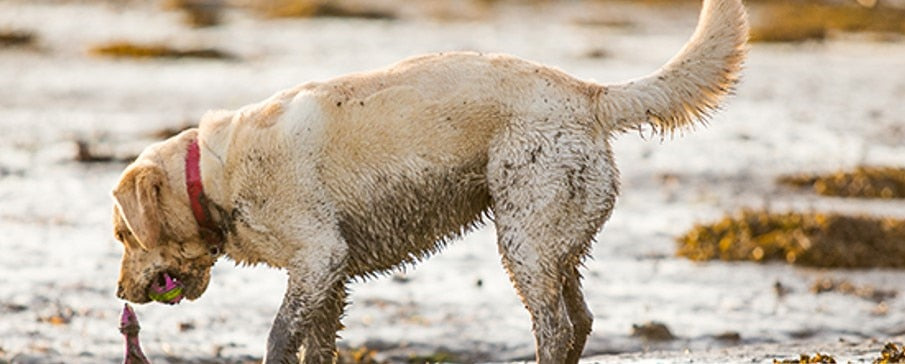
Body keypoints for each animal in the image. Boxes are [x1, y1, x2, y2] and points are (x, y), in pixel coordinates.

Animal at [111, 1, 748, 362]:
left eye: (122, 236)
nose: (119, 293)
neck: (216, 174)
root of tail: (589, 95)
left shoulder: (316, 259)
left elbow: (278, 338)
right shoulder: (329, 278)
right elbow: (318, 344)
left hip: (523, 237)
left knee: (556, 327)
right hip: (552, 237)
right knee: (582, 320)